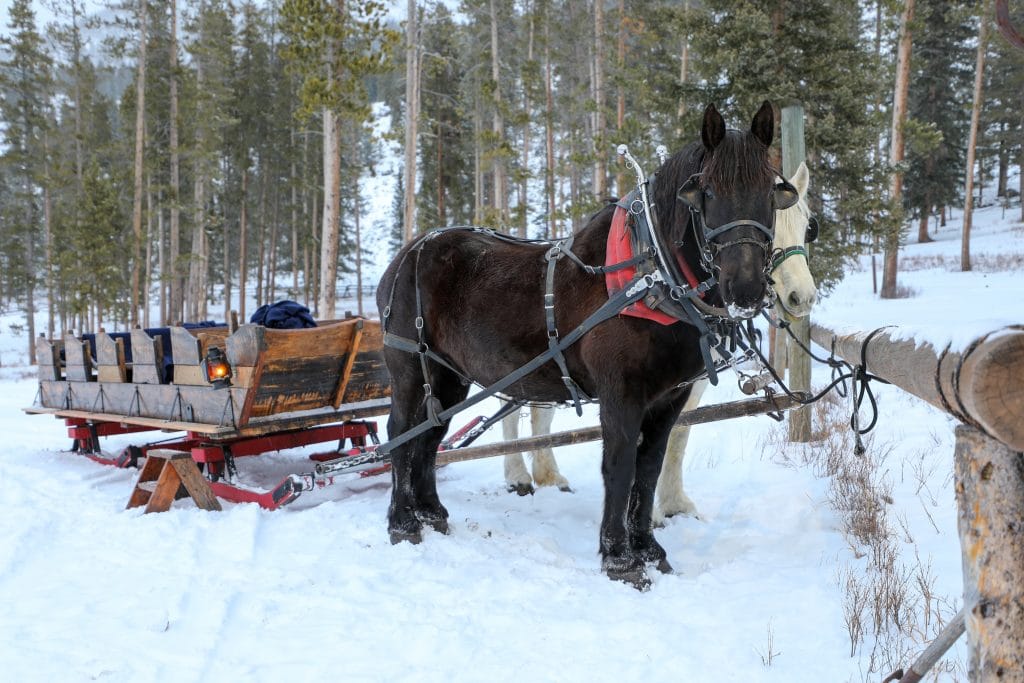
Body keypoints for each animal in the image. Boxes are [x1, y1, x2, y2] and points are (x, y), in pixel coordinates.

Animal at [501, 163, 819, 510]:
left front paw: (672, 504)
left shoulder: (691, 380)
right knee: (513, 411)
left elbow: (678, 435)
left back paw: (548, 475)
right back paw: (518, 476)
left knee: (538, 412)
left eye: (807, 227)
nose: (802, 297)